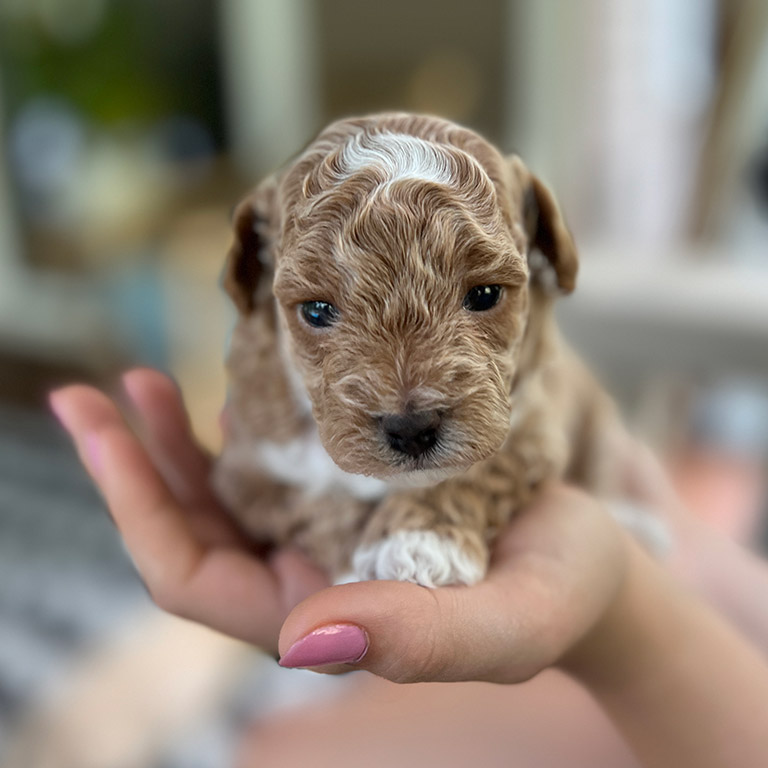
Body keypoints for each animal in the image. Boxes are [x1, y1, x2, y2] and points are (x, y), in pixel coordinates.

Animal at [213, 111, 632, 584]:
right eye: (316, 311)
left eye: (485, 294)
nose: (412, 429)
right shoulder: (249, 470)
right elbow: (314, 506)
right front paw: (362, 562)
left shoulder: (532, 430)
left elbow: (480, 471)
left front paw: (420, 542)